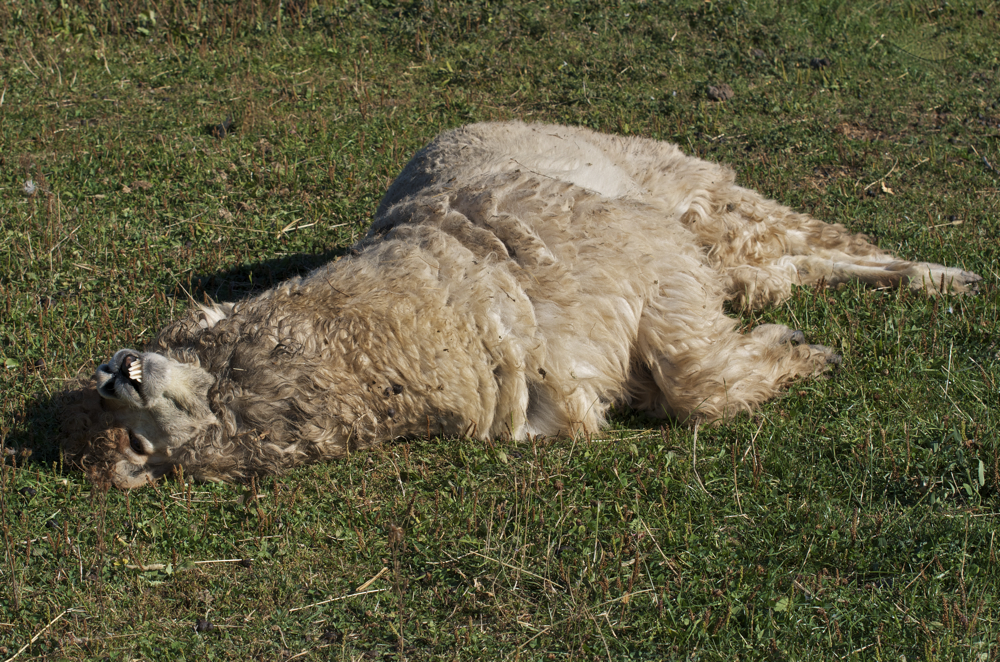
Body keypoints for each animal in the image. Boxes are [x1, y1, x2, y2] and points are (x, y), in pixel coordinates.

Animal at [61, 121, 981, 487]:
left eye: (129, 424)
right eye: (138, 448)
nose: (116, 370)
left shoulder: (651, 265)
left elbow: (697, 382)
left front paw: (800, 355)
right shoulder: (572, 387)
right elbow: (690, 387)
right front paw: (789, 355)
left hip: (684, 191)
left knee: (803, 236)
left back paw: (939, 275)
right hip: (703, 230)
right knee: (782, 268)